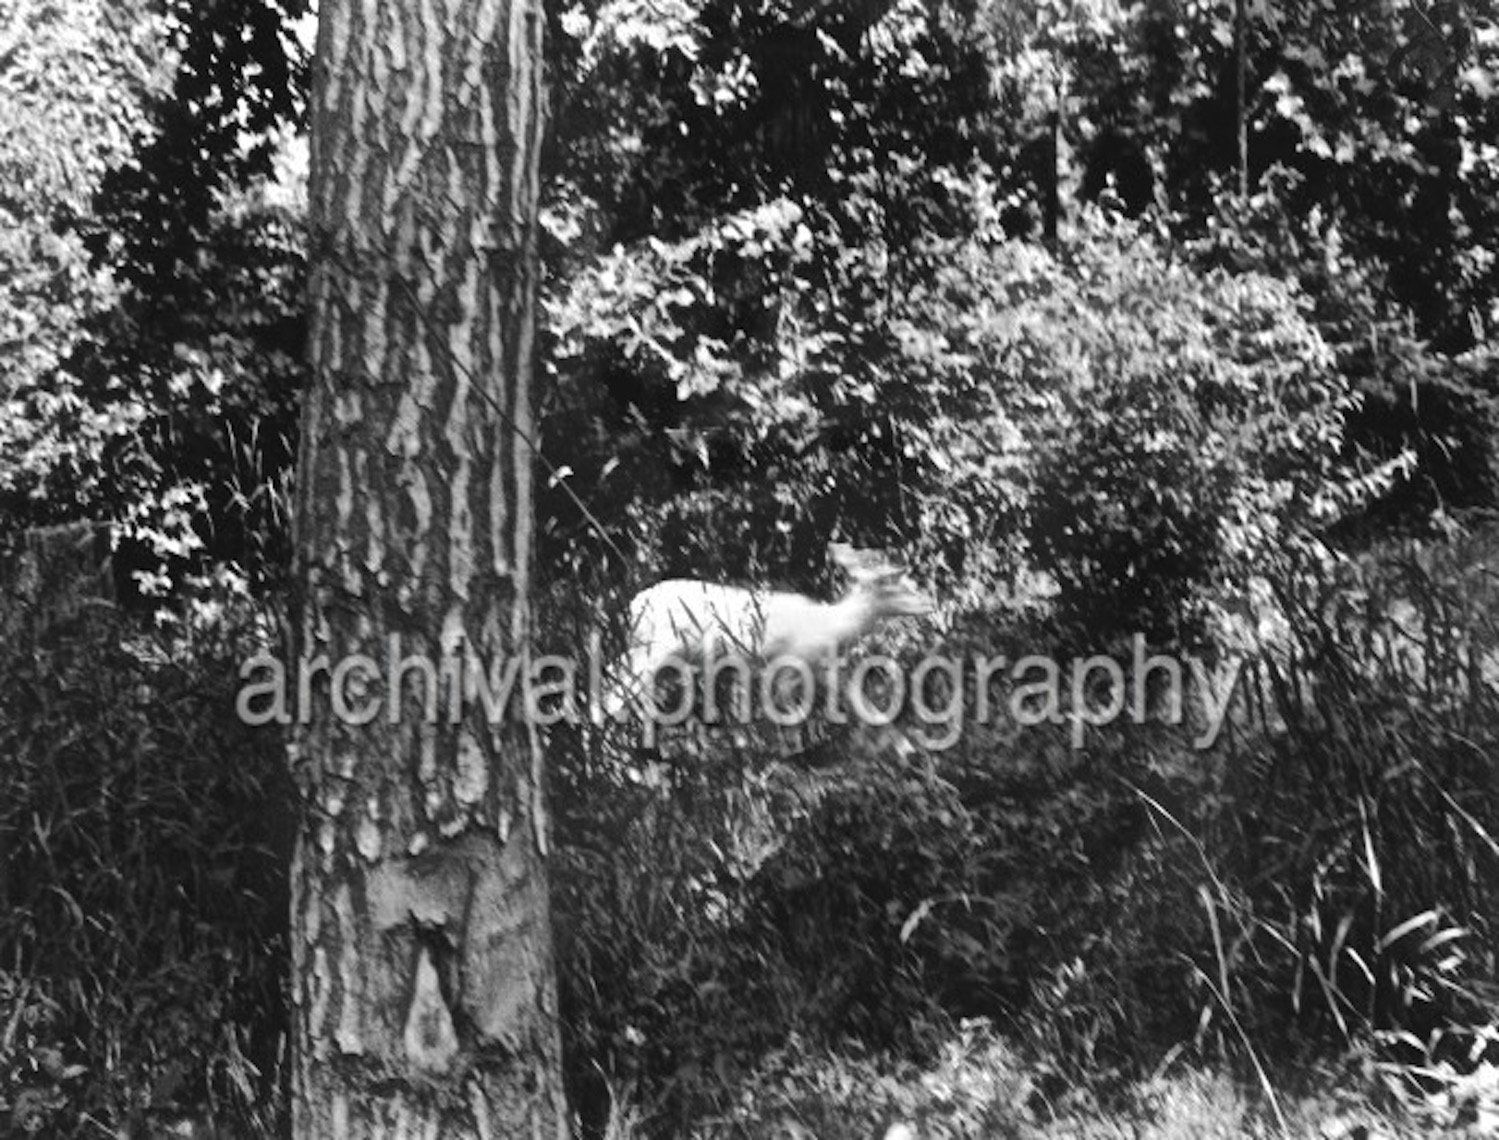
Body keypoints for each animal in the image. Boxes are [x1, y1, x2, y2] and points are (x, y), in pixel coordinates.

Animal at [601, 543, 934, 728]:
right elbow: (787, 709)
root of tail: (633, 607)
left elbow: (854, 694)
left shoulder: (820, 666)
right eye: (899, 585)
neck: (833, 624)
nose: (930, 603)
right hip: (657, 647)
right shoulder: (792, 663)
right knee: (618, 687)